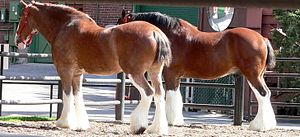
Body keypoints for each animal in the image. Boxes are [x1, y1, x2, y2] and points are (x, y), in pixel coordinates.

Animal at [118, 10, 278, 131]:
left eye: (120, 25)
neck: (171, 36)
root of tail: (262, 38)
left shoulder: (170, 74)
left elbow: (171, 97)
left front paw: (170, 121)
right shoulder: (176, 77)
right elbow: (177, 98)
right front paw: (177, 120)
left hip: (252, 75)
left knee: (263, 94)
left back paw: (259, 126)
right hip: (258, 75)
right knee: (266, 94)